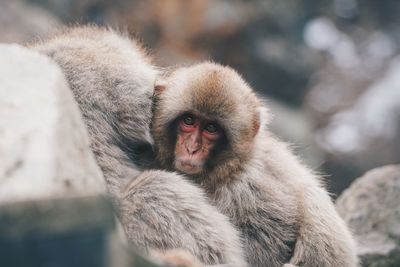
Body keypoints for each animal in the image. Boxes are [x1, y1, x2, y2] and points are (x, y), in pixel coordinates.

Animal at [152, 61, 360, 266]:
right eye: (188, 120)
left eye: (211, 128)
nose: (191, 149)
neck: (230, 169)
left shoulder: (250, 190)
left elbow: (272, 240)